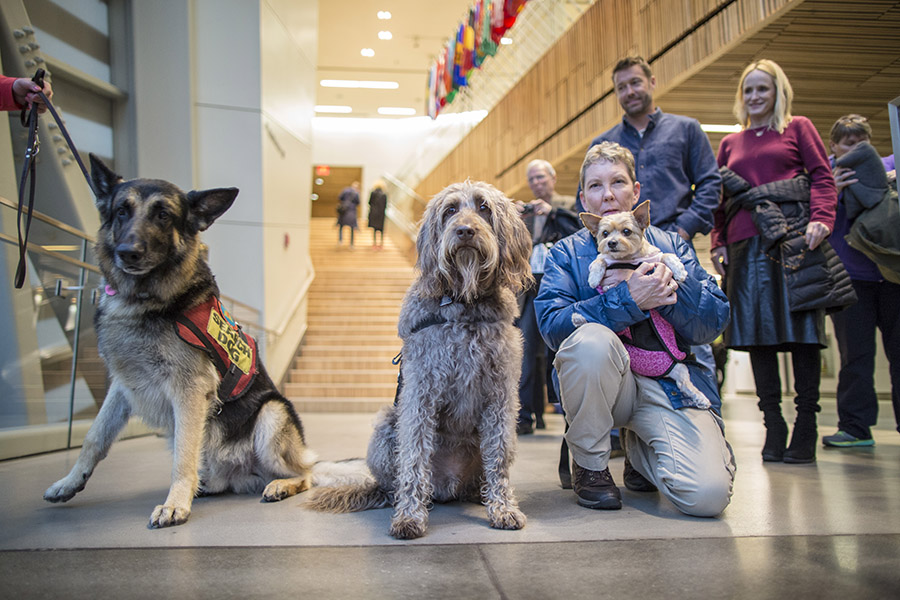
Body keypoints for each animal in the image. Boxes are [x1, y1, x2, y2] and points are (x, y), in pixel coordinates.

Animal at [43, 157, 316, 528]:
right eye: (121, 211)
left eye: (163, 215)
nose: (128, 253)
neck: (142, 301)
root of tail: (235, 478)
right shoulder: (123, 386)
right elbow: (93, 438)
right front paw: (70, 482)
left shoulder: (189, 390)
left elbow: (184, 455)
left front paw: (175, 503)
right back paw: (204, 487)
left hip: (272, 414)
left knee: (306, 473)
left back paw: (279, 485)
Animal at [310, 178, 536, 540]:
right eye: (451, 210)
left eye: (484, 208)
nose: (464, 231)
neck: (463, 303)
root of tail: (448, 487)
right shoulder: (420, 392)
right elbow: (415, 454)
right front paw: (409, 517)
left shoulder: (501, 397)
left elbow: (499, 457)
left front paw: (503, 508)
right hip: (387, 423)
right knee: (398, 480)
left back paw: (481, 493)